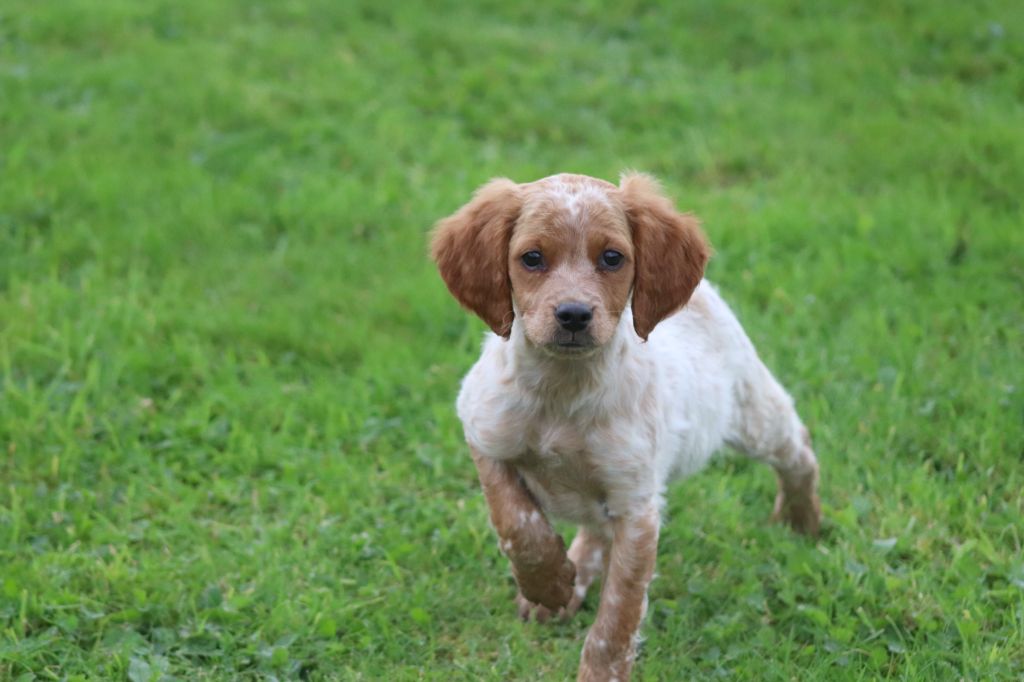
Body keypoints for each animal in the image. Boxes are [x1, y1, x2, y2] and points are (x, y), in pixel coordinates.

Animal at [428, 173, 819, 679]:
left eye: (612, 258)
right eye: (532, 258)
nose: (574, 314)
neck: (563, 390)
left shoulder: (637, 506)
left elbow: (618, 613)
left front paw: (601, 670)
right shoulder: (484, 431)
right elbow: (516, 522)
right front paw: (550, 585)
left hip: (751, 414)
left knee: (798, 450)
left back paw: (802, 520)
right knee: (593, 529)